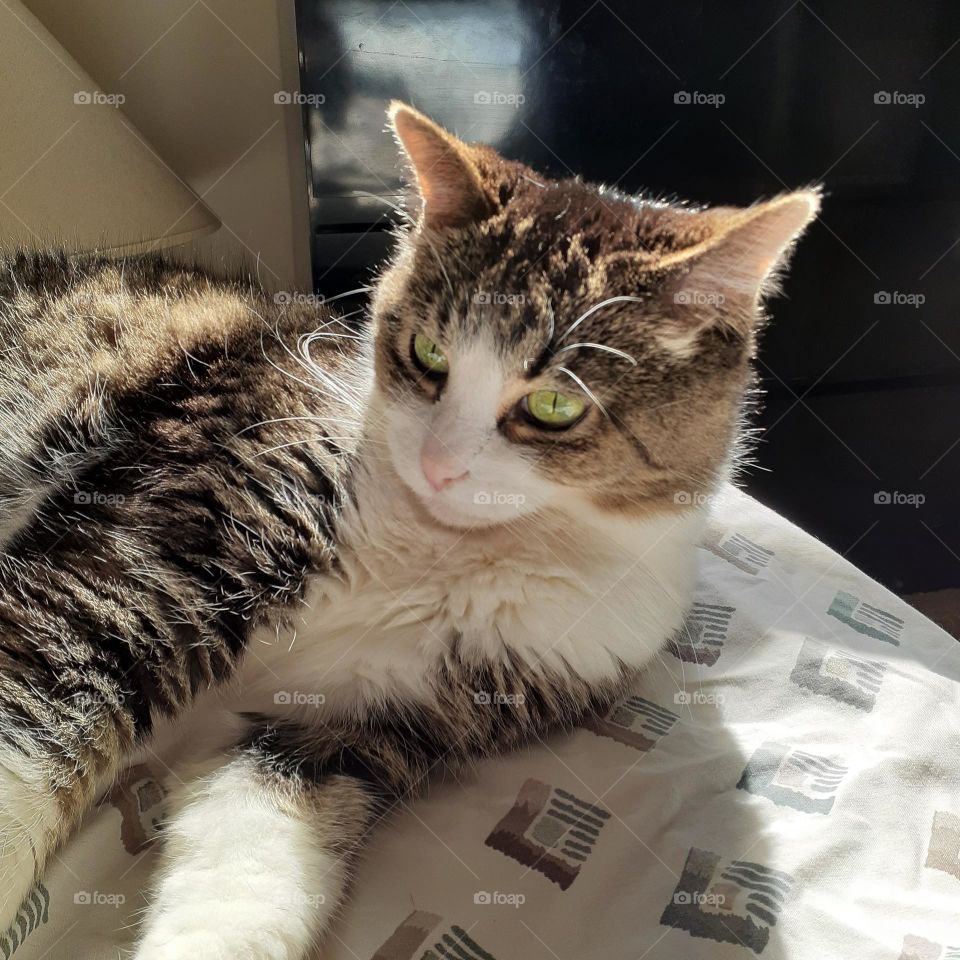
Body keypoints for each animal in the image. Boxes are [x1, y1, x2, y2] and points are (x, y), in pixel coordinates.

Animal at [0, 101, 816, 956]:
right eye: (428, 352)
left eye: (555, 405)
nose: (438, 465)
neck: (443, 552)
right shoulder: (155, 551)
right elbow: (34, 724)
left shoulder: (353, 729)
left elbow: (255, 867)